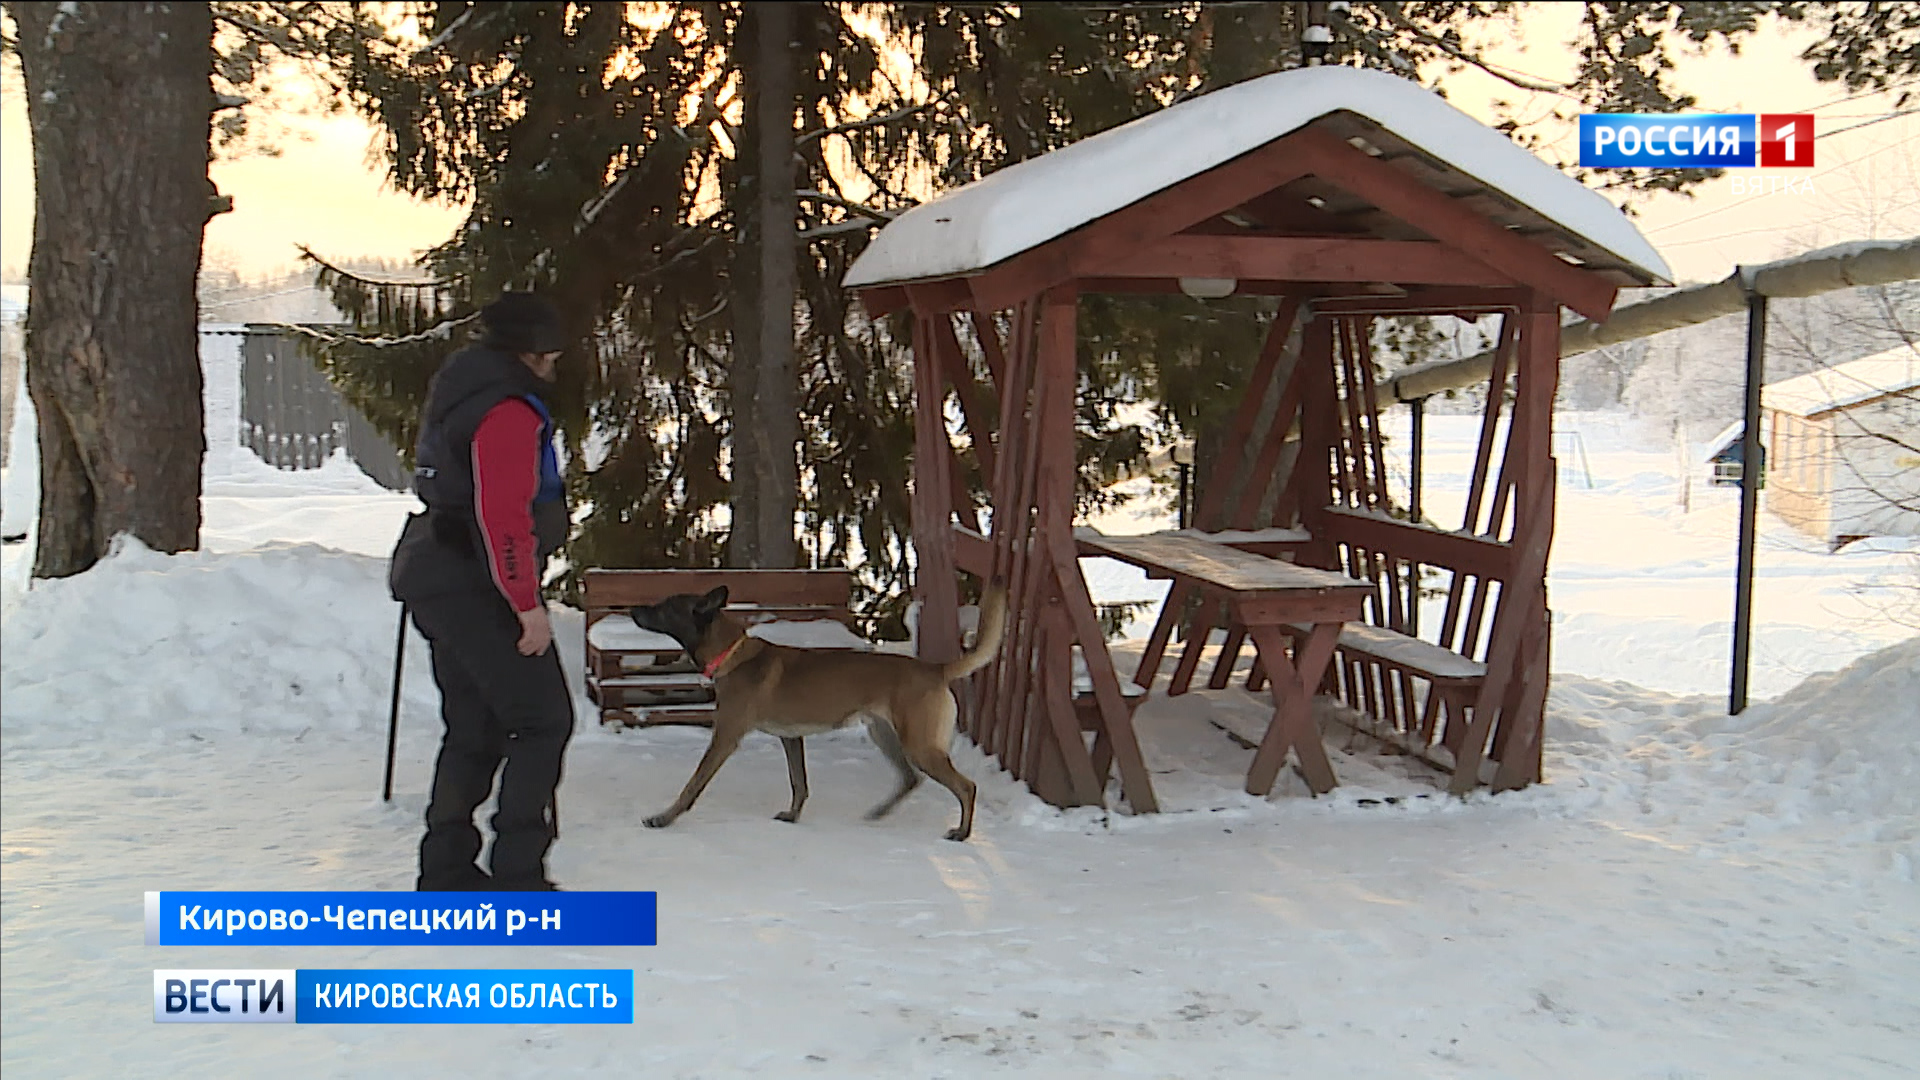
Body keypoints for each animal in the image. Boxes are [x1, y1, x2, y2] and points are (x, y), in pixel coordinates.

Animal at [633, 580, 1021, 841]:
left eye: (666, 606)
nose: (633, 609)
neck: (730, 653)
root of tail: (935, 669)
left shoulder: (725, 737)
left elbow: (692, 785)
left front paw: (664, 818)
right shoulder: (791, 739)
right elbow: (799, 783)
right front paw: (792, 815)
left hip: (919, 745)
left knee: (966, 786)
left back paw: (962, 832)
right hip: (885, 735)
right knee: (910, 778)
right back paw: (879, 812)